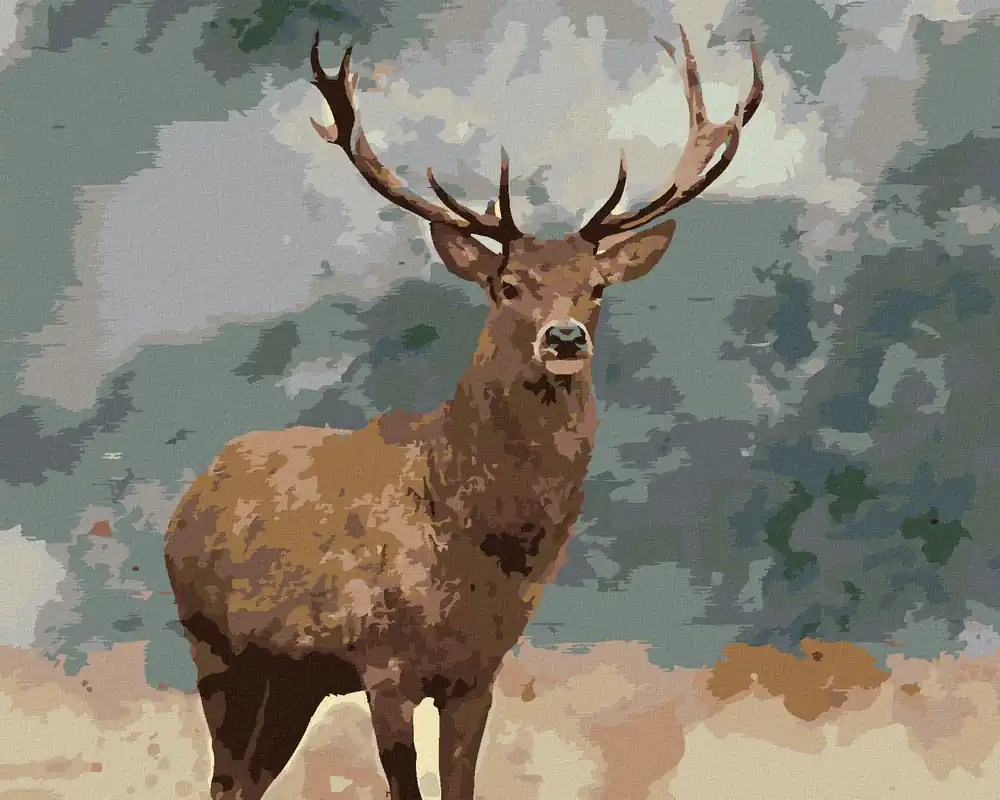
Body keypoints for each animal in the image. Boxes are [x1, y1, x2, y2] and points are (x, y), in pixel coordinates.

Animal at [163, 27, 763, 800]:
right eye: (507, 284)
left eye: (597, 285)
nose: (565, 337)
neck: (468, 549)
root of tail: (194, 490)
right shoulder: (382, 659)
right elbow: (404, 785)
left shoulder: (478, 672)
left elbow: (462, 783)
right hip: (213, 644)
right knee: (223, 776)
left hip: (294, 678)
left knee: (248, 780)